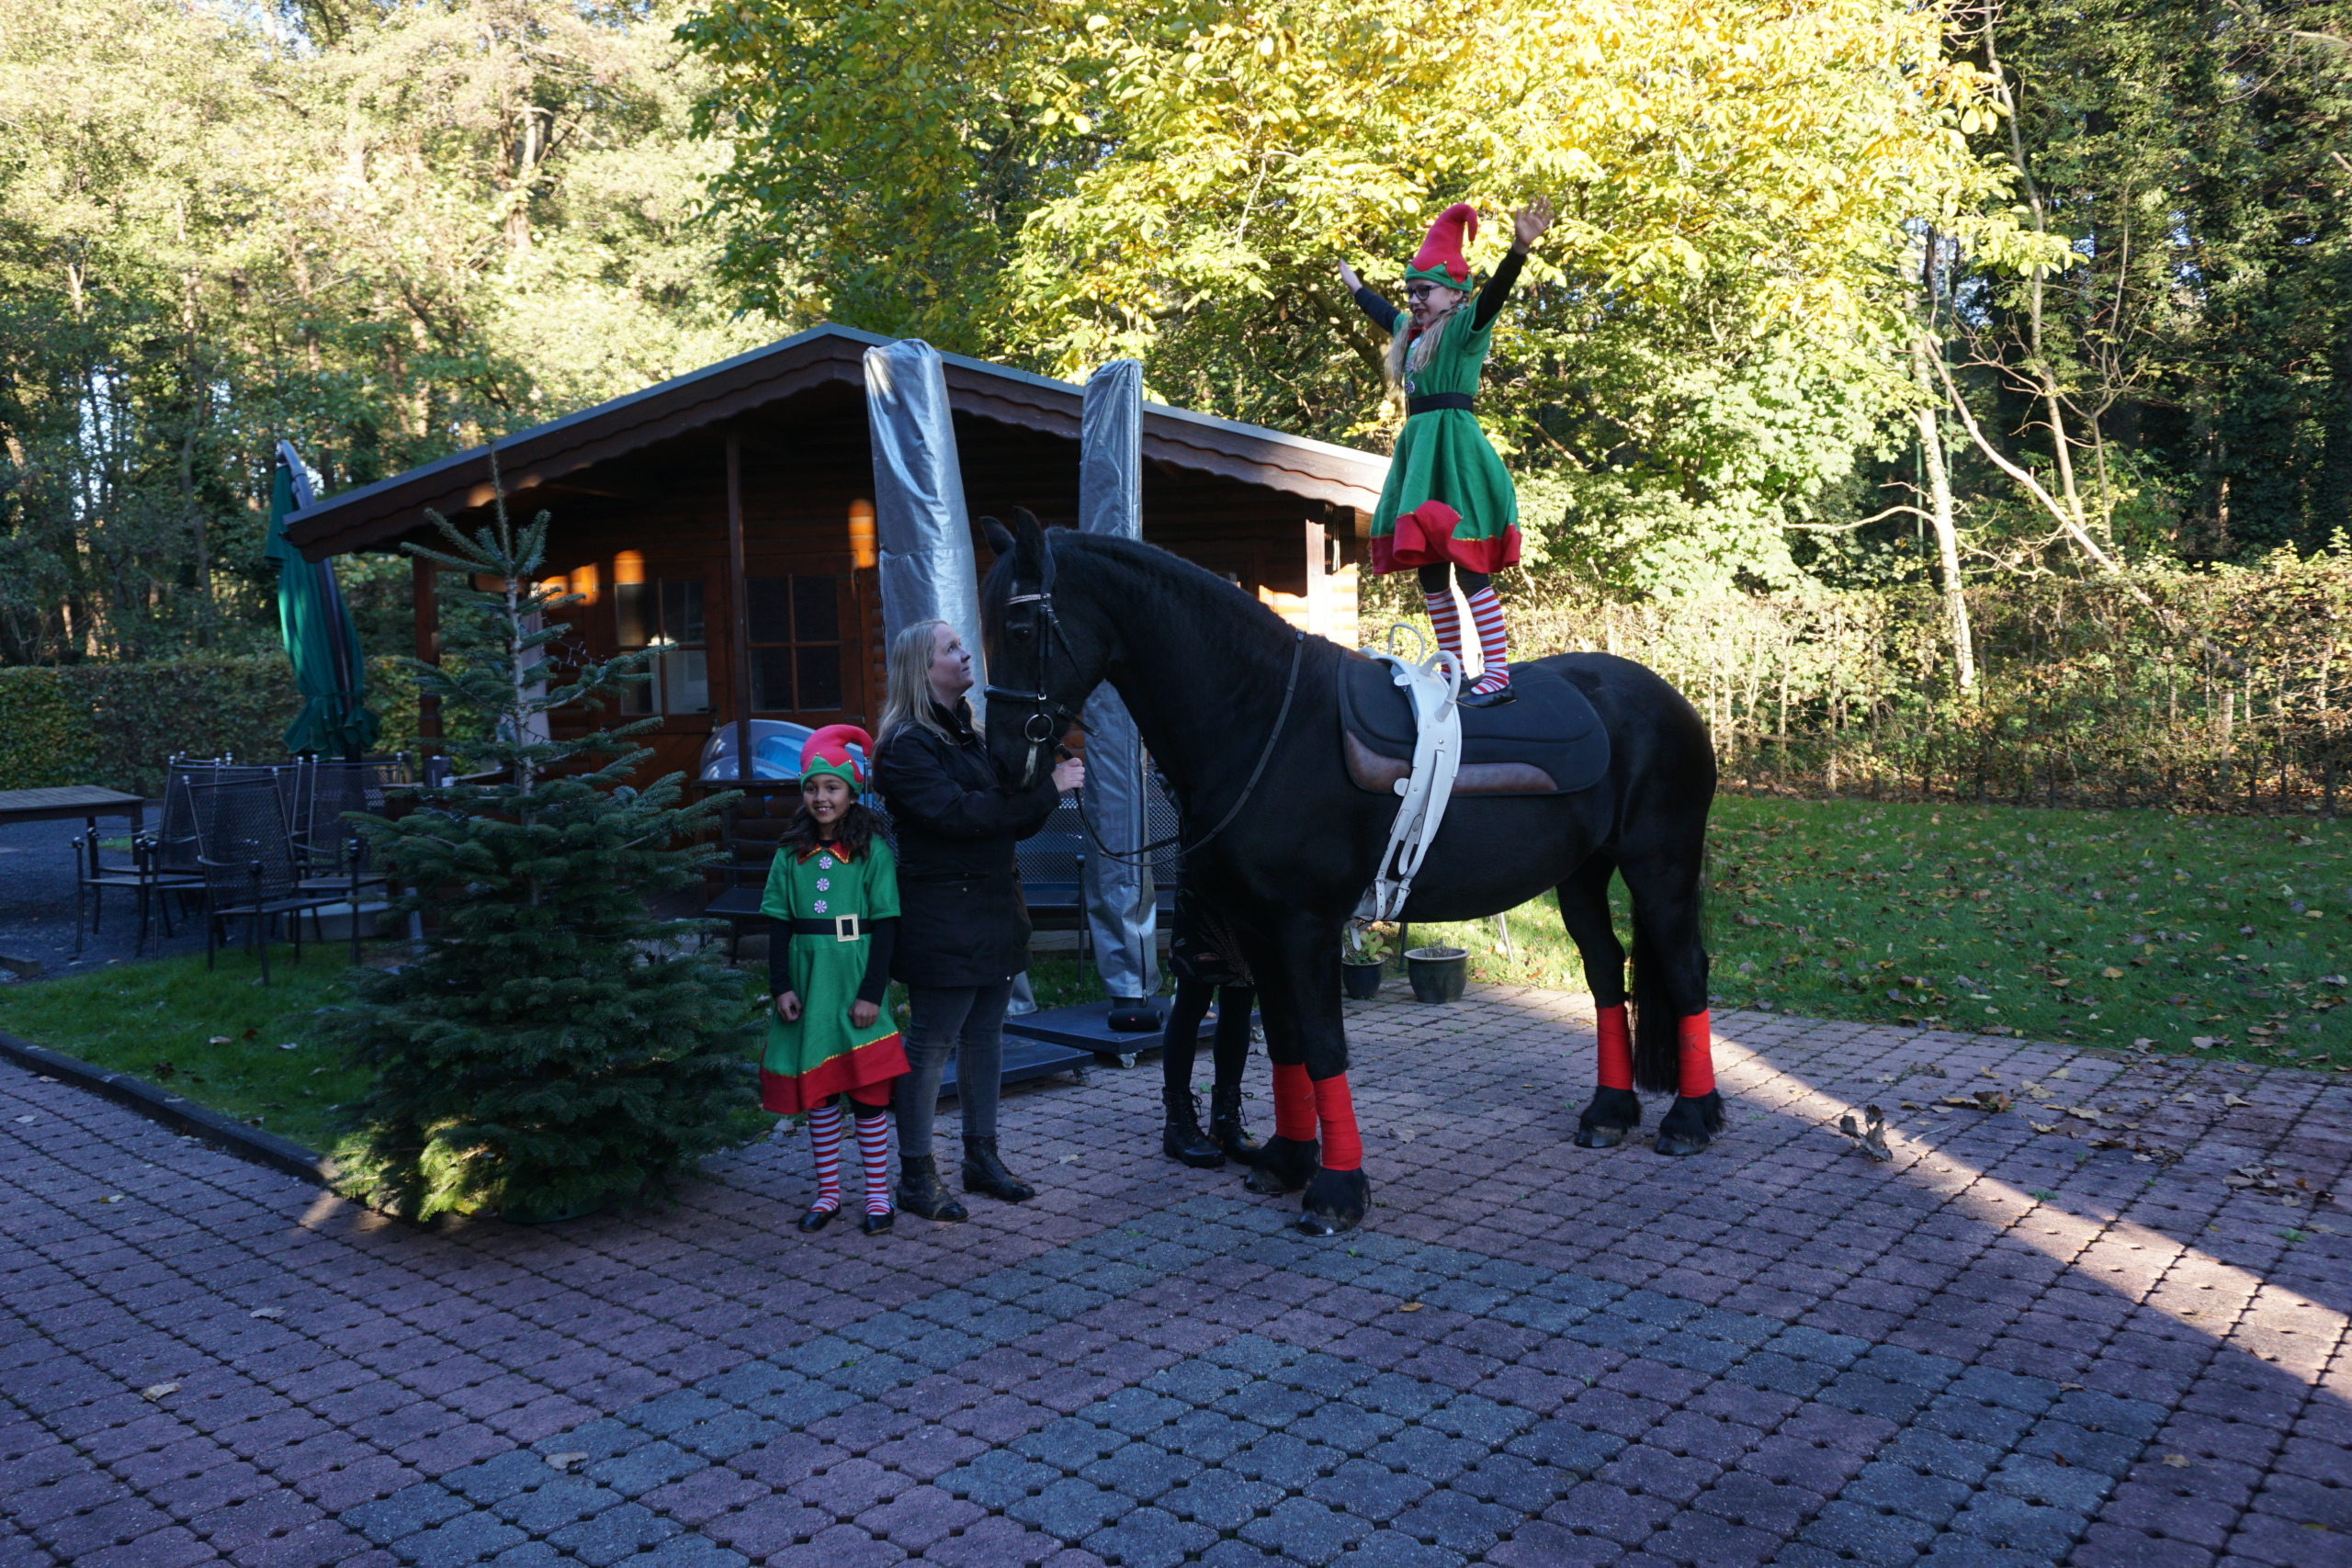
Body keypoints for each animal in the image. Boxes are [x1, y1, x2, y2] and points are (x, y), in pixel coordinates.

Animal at [978, 511, 1719, 1236]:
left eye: (1019, 629)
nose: (1005, 762)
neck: (1264, 721)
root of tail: (1670, 701)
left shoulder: (1305, 926)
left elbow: (1323, 1046)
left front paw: (1336, 1189)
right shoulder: (1260, 930)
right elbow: (1284, 1041)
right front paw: (1286, 1158)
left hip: (1659, 867)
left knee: (1685, 971)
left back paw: (1690, 1119)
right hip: (1583, 877)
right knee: (1606, 972)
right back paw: (1610, 1113)